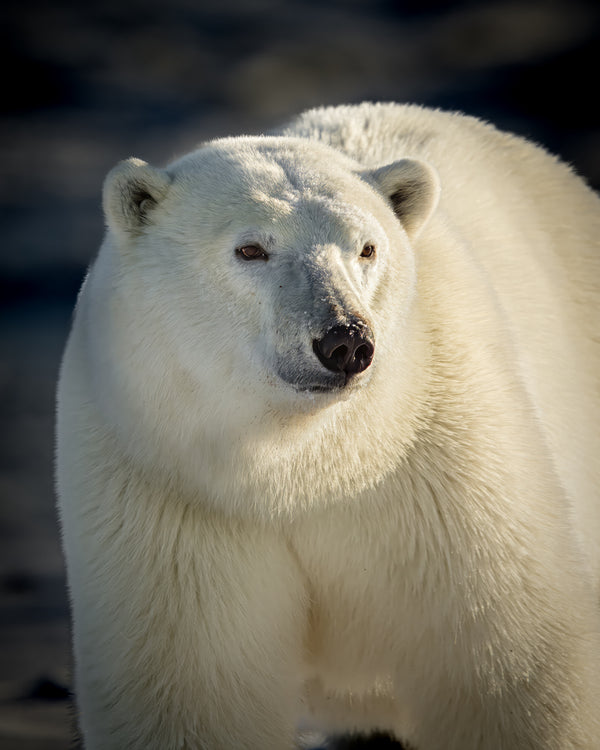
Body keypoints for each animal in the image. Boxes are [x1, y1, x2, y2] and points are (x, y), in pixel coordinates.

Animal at [56, 102, 600, 749]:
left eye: (366, 248)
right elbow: (189, 693)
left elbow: (507, 665)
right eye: (250, 249)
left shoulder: (440, 464)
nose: (345, 341)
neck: (304, 466)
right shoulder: (167, 490)